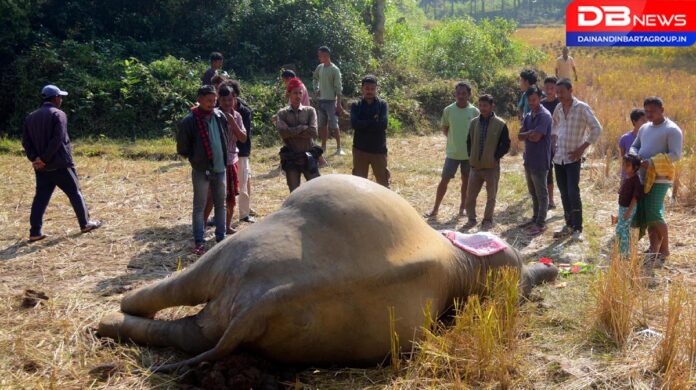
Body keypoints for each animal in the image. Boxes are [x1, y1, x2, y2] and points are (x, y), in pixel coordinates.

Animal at [98, 174, 556, 372]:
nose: (546, 270)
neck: (458, 263)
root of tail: (266, 299)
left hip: (240, 259)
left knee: (181, 312)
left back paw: (106, 321)